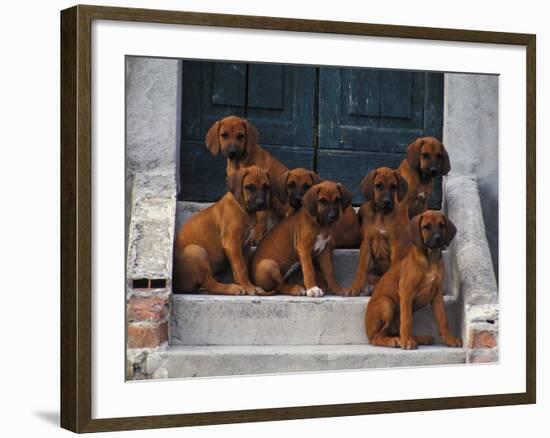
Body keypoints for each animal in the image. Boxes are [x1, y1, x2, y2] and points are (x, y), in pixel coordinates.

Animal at [175, 166, 272, 296]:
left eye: (266, 187)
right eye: (249, 187)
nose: (260, 204)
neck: (242, 206)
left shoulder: (245, 247)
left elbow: (244, 267)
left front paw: (249, 285)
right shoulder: (232, 244)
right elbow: (241, 268)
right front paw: (248, 287)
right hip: (196, 250)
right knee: (208, 284)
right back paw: (232, 288)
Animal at [204, 115, 288, 243]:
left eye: (241, 136)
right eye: (224, 135)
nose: (232, 151)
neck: (238, 162)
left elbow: (261, 216)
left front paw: (257, 235)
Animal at [348, 166, 412, 296]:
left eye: (394, 186)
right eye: (378, 185)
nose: (387, 201)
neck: (381, 214)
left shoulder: (395, 244)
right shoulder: (366, 242)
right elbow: (361, 268)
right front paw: (355, 287)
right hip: (371, 273)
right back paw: (370, 288)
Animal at [366, 210, 466, 350]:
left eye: (442, 225)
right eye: (426, 227)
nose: (438, 239)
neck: (430, 259)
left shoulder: (437, 295)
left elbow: (443, 320)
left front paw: (450, 339)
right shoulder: (406, 292)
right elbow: (407, 321)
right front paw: (406, 342)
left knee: (396, 330)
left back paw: (419, 338)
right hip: (386, 303)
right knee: (377, 337)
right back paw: (395, 341)